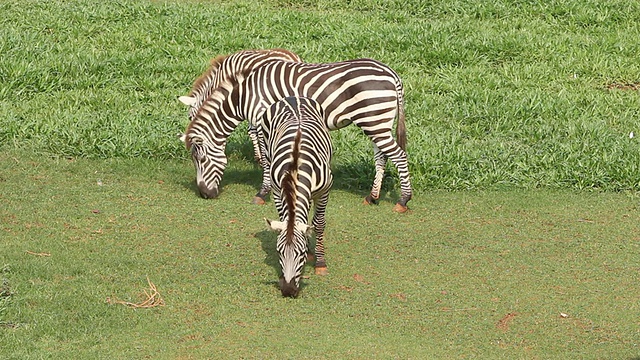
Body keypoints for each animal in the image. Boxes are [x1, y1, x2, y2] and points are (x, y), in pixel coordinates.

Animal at [180, 57, 412, 212]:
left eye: (201, 160)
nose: (204, 195)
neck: (244, 95)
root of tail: (391, 73)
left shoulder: (262, 119)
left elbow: (267, 159)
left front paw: (263, 192)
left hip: (375, 120)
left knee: (399, 155)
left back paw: (403, 200)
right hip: (376, 122)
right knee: (382, 157)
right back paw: (372, 197)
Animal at [262, 95, 332, 298]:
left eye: (300, 254)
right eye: (279, 252)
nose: (288, 290)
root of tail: (293, 97)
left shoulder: (324, 191)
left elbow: (319, 224)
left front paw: (320, 262)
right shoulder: (277, 190)